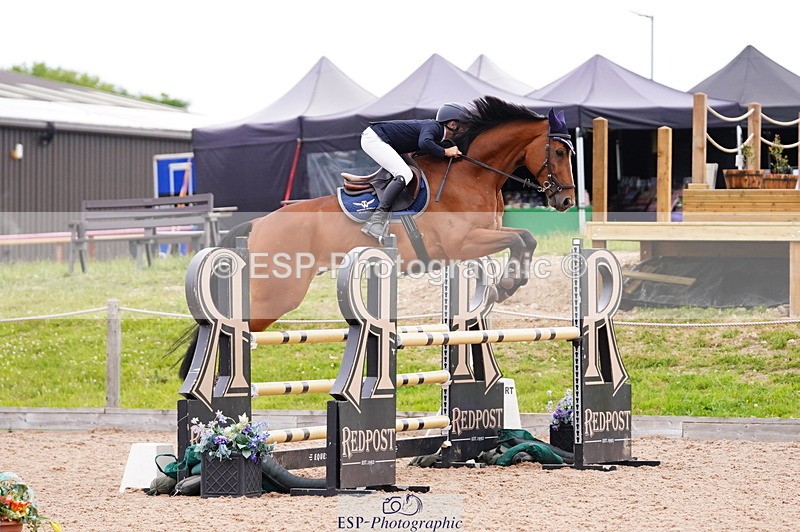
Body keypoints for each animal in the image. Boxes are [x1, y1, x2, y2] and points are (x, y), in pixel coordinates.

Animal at [178, 96, 575, 379]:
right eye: (558, 151)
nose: (567, 200)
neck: (472, 174)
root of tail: (259, 224)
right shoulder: (462, 243)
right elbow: (521, 238)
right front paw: (507, 285)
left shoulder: (482, 237)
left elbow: (525, 239)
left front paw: (505, 285)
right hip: (279, 292)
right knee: (235, 323)